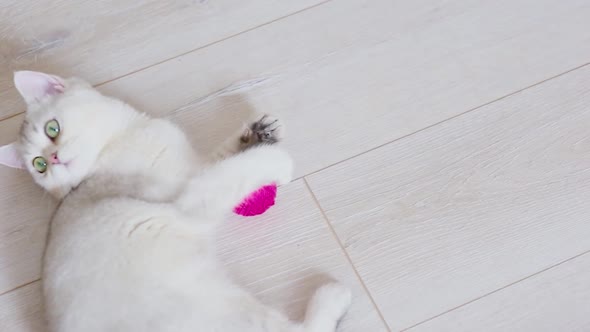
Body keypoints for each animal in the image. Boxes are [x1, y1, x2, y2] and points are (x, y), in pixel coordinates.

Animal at [0, 72, 352, 332]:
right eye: (39, 166)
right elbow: (236, 170)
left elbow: (224, 156)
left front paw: (259, 133)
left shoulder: (194, 167)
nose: (53, 159)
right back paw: (333, 297)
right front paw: (275, 161)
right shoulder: (191, 195)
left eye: (52, 129)